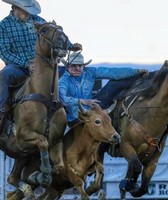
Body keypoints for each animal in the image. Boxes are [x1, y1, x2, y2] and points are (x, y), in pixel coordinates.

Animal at [96, 60, 168, 198]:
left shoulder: (153, 160)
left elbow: (143, 187)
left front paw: (129, 185)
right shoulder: (126, 146)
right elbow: (137, 167)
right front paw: (129, 184)